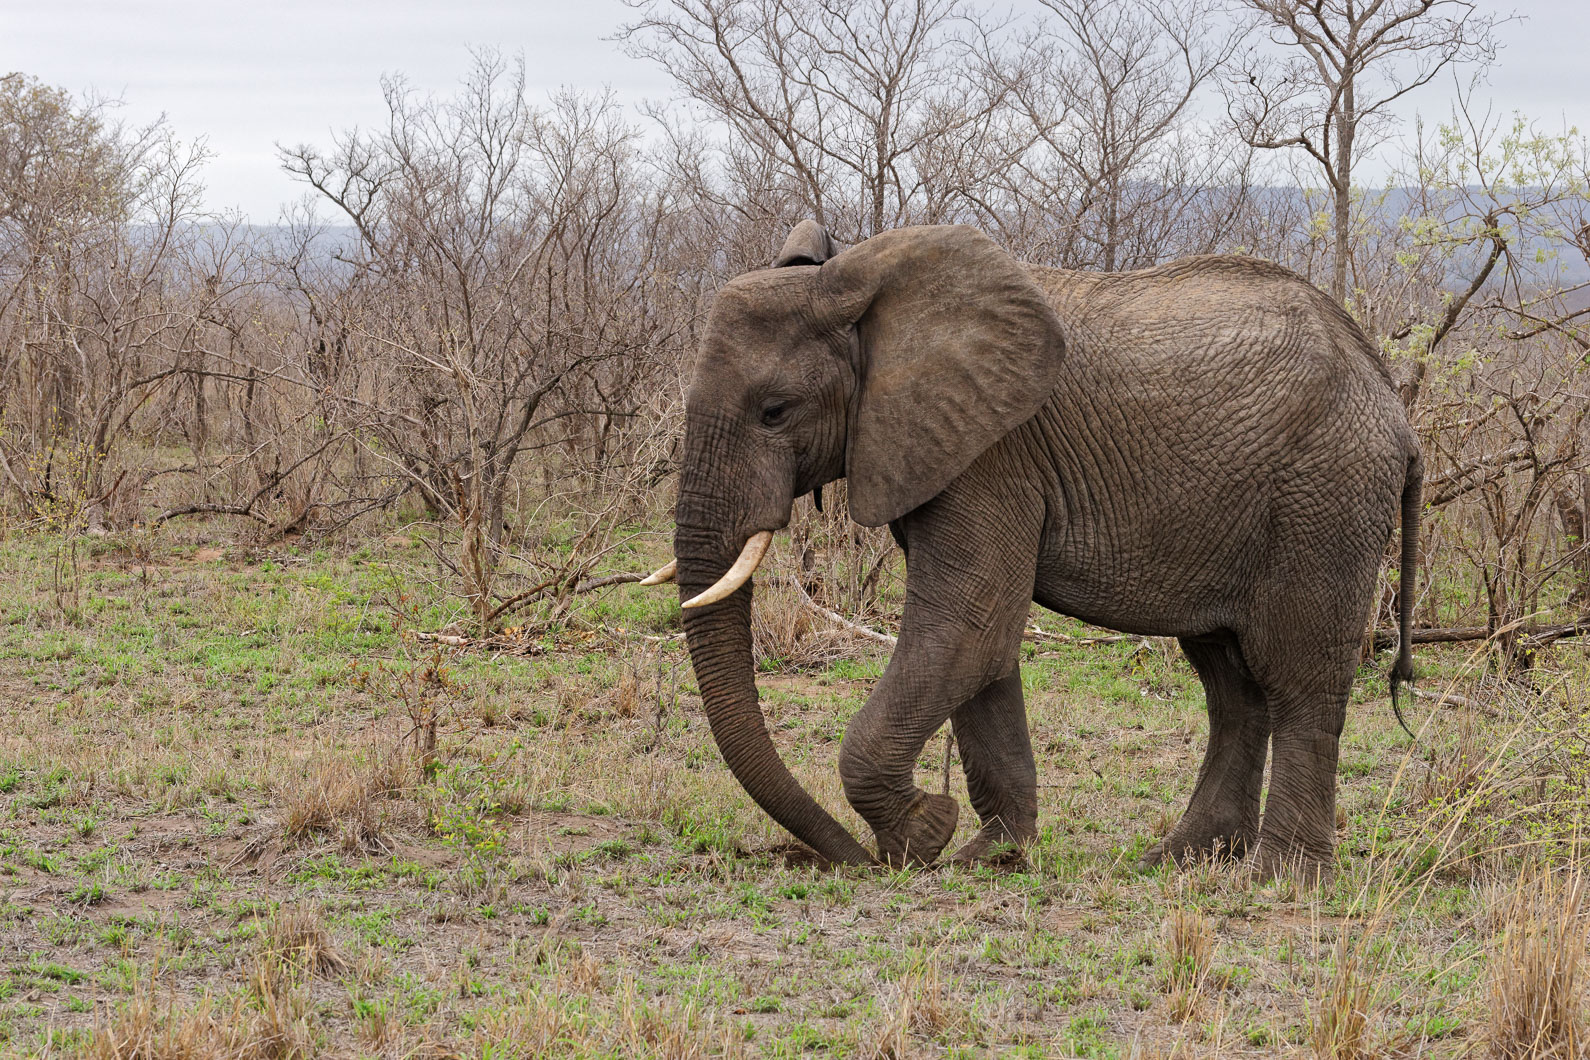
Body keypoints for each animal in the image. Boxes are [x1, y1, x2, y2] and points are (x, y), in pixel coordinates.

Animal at [642, 221, 1421, 876]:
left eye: (775, 411)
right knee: (1230, 684)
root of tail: (1390, 397)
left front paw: (926, 835)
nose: (855, 861)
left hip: (1324, 496)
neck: (864, 286)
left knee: (1299, 678)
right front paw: (988, 854)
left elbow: (968, 627)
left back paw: (1279, 876)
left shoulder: (992, 455)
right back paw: (1183, 858)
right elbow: (981, 644)